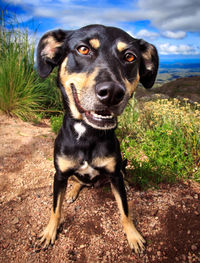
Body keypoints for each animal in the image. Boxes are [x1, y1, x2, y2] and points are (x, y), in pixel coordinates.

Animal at [36, 24, 159, 254]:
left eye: (130, 57)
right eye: (83, 49)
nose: (111, 93)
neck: (87, 135)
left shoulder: (115, 174)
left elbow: (125, 210)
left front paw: (133, 235)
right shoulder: (59, 175)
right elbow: (55, 208)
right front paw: (49, 232)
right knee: (78, 181)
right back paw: (74, 190)